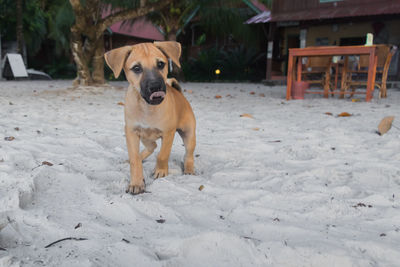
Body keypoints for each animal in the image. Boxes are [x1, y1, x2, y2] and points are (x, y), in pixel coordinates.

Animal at [104, 41, 196, 195]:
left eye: (160, 64)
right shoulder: (131, 132)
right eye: (136, 68)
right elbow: (135, 159)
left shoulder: (168, 133)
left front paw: (161, 170)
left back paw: (189, 169)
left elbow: (163, 154)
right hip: (145, 137)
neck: (147, 108)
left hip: (189, 134)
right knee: (152, 147)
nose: (155, 86)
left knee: (188, 154)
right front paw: (136, 182)